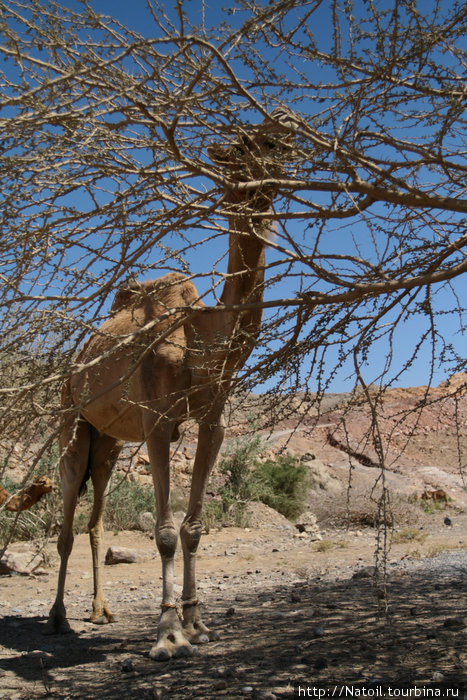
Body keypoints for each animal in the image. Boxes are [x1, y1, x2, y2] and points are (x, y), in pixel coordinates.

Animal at [45, 106, 298, 660]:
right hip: (71, 420)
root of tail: (74, 365)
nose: (287, 124)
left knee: (95, 518)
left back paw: (100, 611)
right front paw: (167, 634)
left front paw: (198, 623)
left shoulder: (212, 422)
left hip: (109, 441)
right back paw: (58, 618)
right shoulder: (159, 423)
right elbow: (162, 532)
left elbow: (194, 527)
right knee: (66, 521)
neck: (202, 337)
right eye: (248, 143)